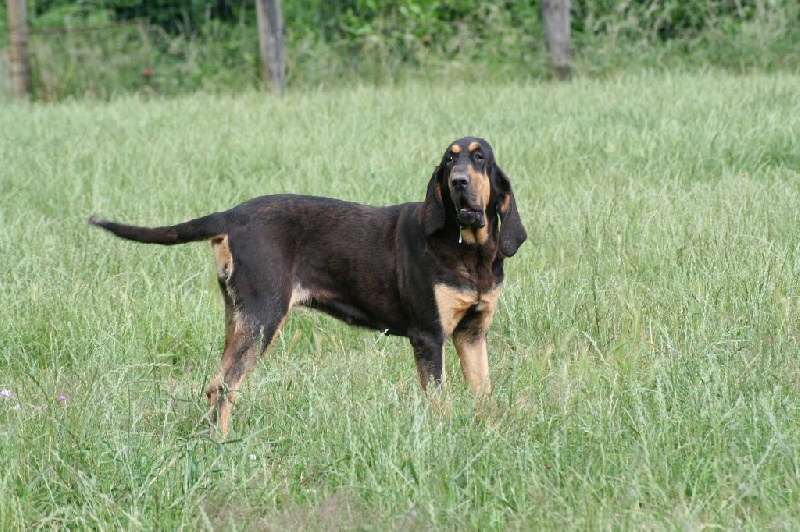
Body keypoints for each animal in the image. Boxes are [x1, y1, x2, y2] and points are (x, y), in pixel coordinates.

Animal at [90, 136, 528, 436]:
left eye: (480, 158)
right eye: (449, 159)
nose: (458, 182)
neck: (470, 250)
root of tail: (232, 215)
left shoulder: (472, 333)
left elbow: (483, 393)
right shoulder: (428, 336)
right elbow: (437, 400)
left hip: (239, 318)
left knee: (217, 384)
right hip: (264, 317)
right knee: (222, 386)